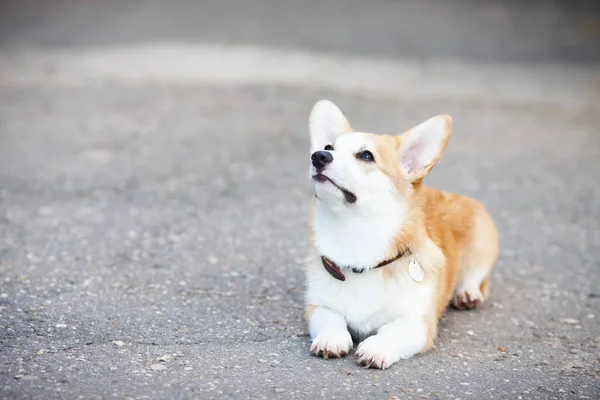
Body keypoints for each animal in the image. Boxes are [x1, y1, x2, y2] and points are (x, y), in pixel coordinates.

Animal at [304, 99, 496, 368]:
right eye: (329, 147)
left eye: (366, 155)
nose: (318, 156)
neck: (356, 236)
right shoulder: (317, 306)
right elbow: (331, 317)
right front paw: (331, 338)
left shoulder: (419, 323)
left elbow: (393, 330)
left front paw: (376, 348)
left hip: (483, 244)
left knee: (475, 276)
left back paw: (468, 293)